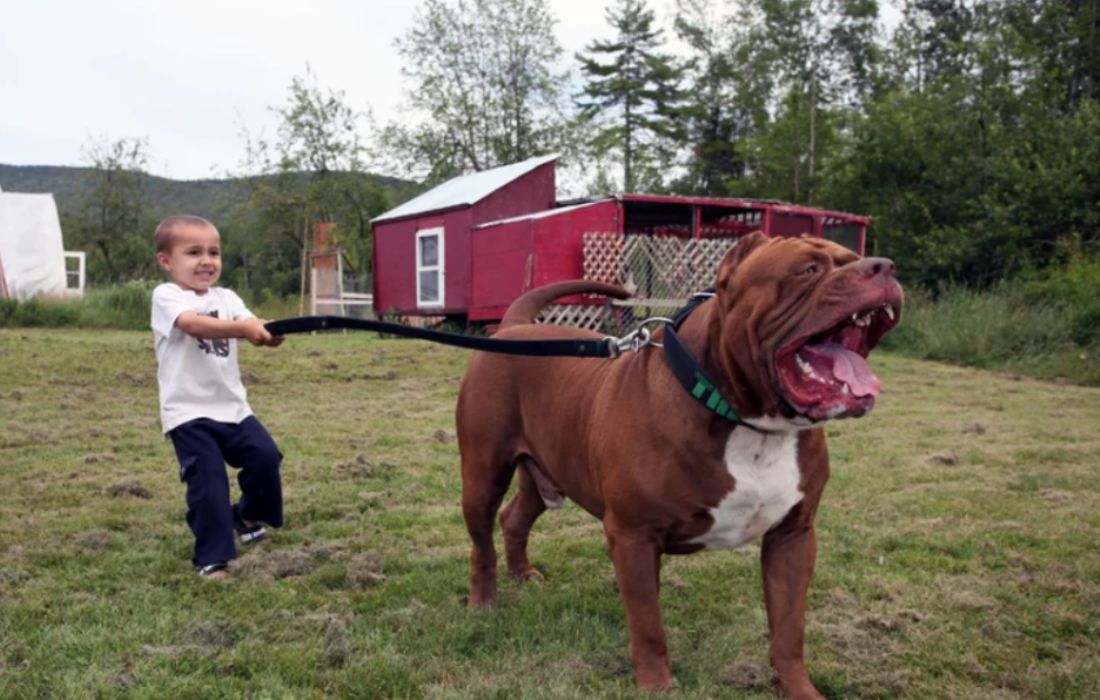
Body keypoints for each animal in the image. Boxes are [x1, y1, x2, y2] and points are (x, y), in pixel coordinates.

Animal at [455, 233, 902, 695]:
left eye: (853, 259)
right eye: (808, 270)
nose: (883, 267)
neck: (752, 422)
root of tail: (513, 326)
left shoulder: (792, 536)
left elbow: (788, 628)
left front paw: (798, 688)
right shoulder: (634, 536)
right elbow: (648, 623)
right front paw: (657, 686)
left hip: (546, 473)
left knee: (515, 517)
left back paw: (522, 573)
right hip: (483, 474)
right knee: (482, 540)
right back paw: (483, 602)